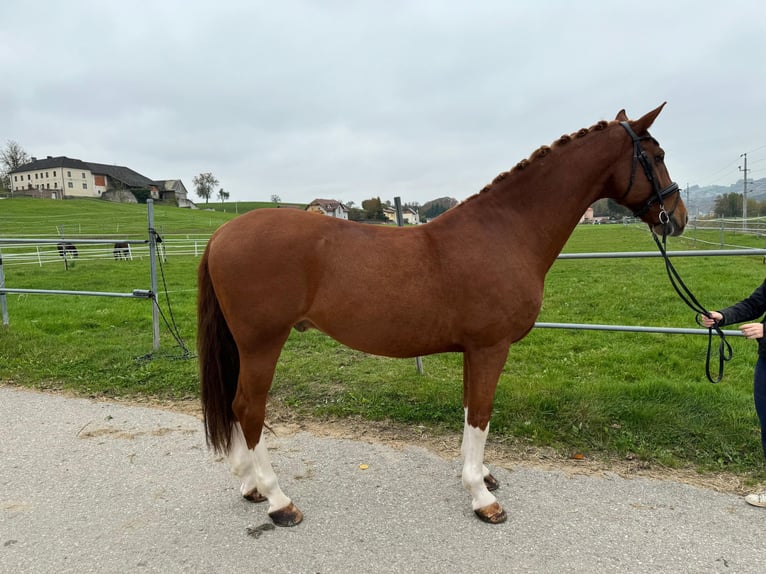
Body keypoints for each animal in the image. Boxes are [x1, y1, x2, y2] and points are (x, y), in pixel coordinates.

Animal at [200, 103, 688, 528]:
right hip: (263, 341)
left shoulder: (474, 349)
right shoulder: (491, 347)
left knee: (237, 405)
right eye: (657, 156)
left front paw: (481, 475)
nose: (677, 218)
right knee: (249, 407)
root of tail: (221, 233)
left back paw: (251, 486)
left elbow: (471, 408)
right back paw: (278, 500)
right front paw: (482, 497)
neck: (504, 231)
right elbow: (482, 412)